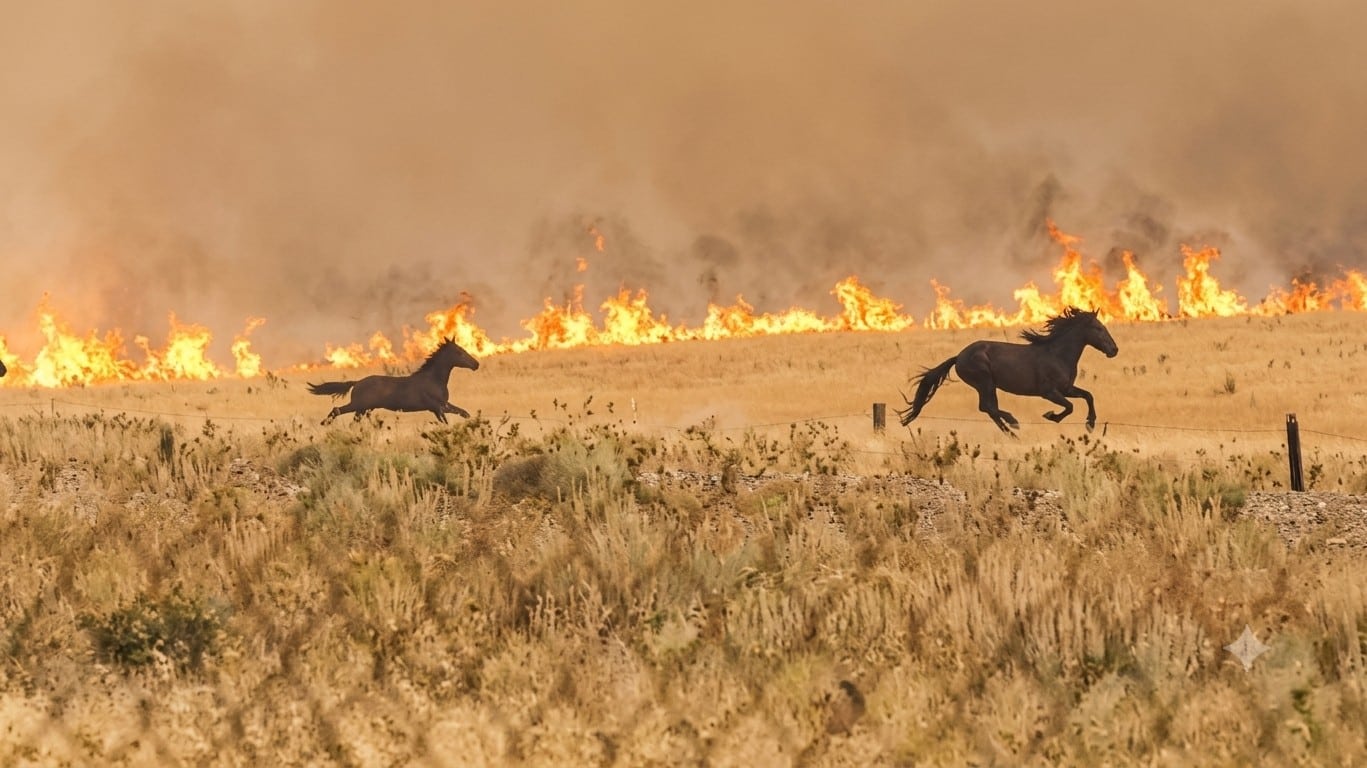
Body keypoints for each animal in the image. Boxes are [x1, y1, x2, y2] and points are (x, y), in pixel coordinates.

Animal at [308, 337, 480, 425]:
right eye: (459, 352)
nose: (476, 364)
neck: (434, 380)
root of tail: (357, 383)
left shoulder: (439, 407)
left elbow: (463, 413)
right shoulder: (438, 406)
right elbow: (454, 416)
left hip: (363, 409)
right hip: (359, 405)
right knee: (336, 410)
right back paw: (324, 424)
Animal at [897, 307, 1118, 435]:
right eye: (1098, 328)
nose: (1114, 350)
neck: (1057, 354)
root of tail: (959, 357)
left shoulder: (1067, 389)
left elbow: (1088, 396)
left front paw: (1090, 424)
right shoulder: (1049, 392)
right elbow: (1070, 407)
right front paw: (1051, 416)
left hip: (987, 385)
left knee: (988, 409)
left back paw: (1011, 431)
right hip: (985, 382)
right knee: (988, 407)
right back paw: (1013, 423)